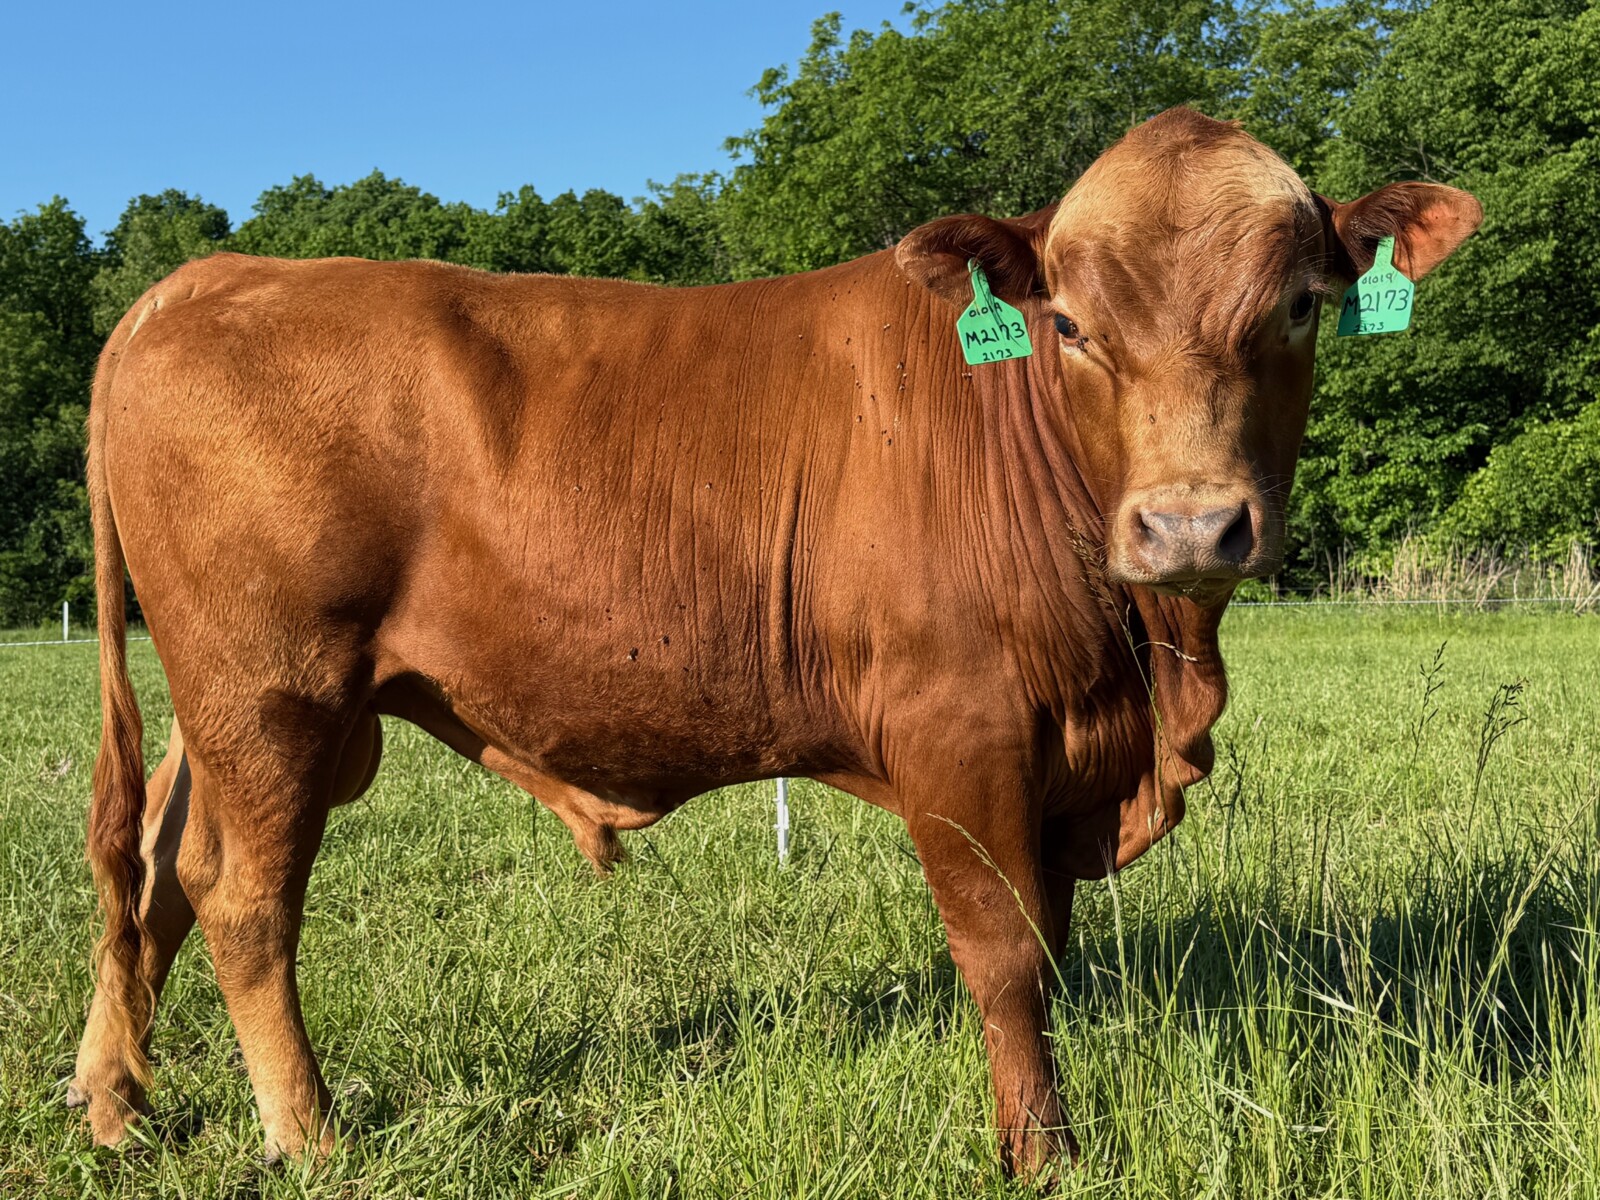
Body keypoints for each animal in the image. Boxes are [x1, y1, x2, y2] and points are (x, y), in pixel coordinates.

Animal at [69, 107, 1481, 1178]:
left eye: (1298, 308)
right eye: (1072, 324)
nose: (1191, 523)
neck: (1144, 672)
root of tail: (199, 281)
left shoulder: (1058, 751)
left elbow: (1052, 941)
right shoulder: (959, 733)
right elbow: (1005, 954)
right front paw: (1041, 1156)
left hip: (237, 708)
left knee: (154, 868)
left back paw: (116, 1104)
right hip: (273, 690)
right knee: (243, 899)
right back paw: (306, 1137)